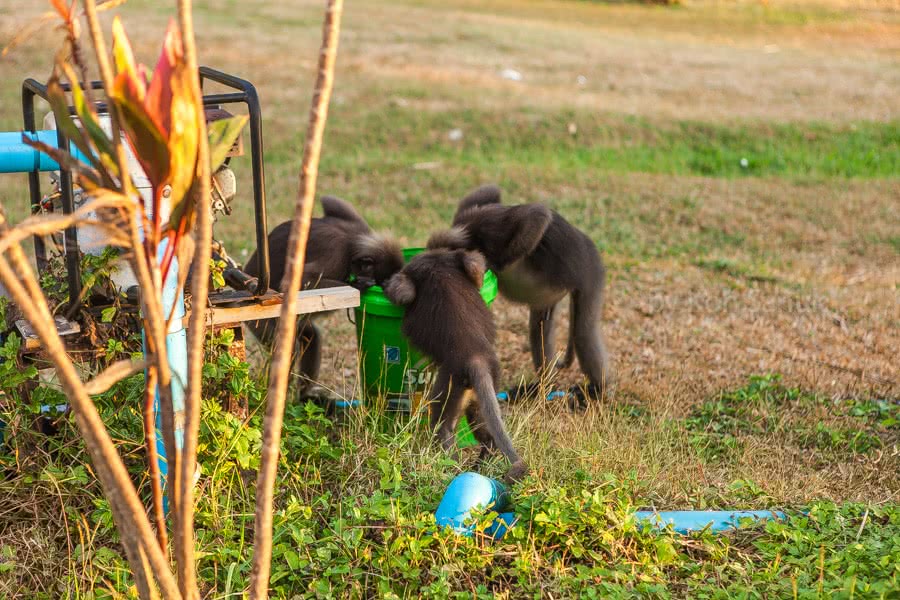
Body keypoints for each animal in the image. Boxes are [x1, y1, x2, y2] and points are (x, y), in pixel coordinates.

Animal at [243, 195, 404, 396]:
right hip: (261, 321)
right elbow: (296, 283)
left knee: (310, 337)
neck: (352, 241)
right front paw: (358, 286)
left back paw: (304, 396)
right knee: (289, 349)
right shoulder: (336, 254)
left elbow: (329, 200)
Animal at [382, 244, 528, 482]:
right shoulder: (464, 261)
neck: (437, 263)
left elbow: (403, 292)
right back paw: (480, 466)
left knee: (443, 427)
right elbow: (476, 267)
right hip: (481, 391)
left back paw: (451, 468)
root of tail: (475, 359)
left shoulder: (411, 273)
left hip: (449, 384)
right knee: (486, 433)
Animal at [428, 185, 612, 406]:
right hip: (549, 296)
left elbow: (538, 215)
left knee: (583, 334)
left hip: (591, 274)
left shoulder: (491, 229)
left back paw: (597, 390)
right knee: (539, 330)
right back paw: (543, 387)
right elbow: (490, 189)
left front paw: (495, 264)